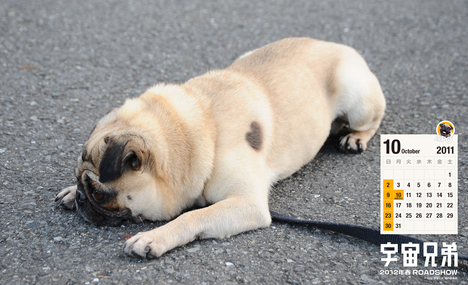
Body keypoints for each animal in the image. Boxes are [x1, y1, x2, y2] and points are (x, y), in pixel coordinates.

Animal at [54, 37, 386, 258]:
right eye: (82, 184)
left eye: (99, 194)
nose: (83, 197)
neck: (196, 130)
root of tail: (335, 44)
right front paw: (70, 192)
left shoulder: (247, 203)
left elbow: (192, 217)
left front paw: (153, 238)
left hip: (357, 99)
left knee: (374, 117)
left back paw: (354, 137)